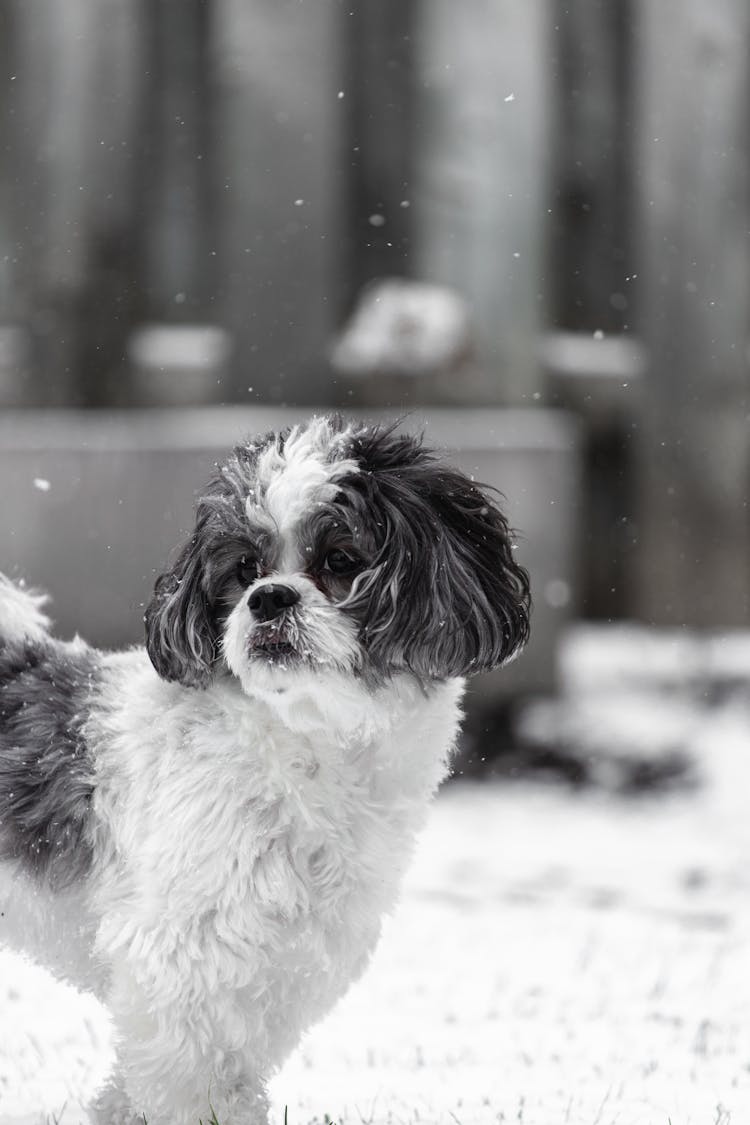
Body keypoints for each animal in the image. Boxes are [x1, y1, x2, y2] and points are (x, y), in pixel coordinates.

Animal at [0, 420, 528, 1125]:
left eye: (340, 561)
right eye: (246, 569)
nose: (269, 596)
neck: (306, 746)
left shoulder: (283, 963)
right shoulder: (183, 954)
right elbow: (191, 1077)